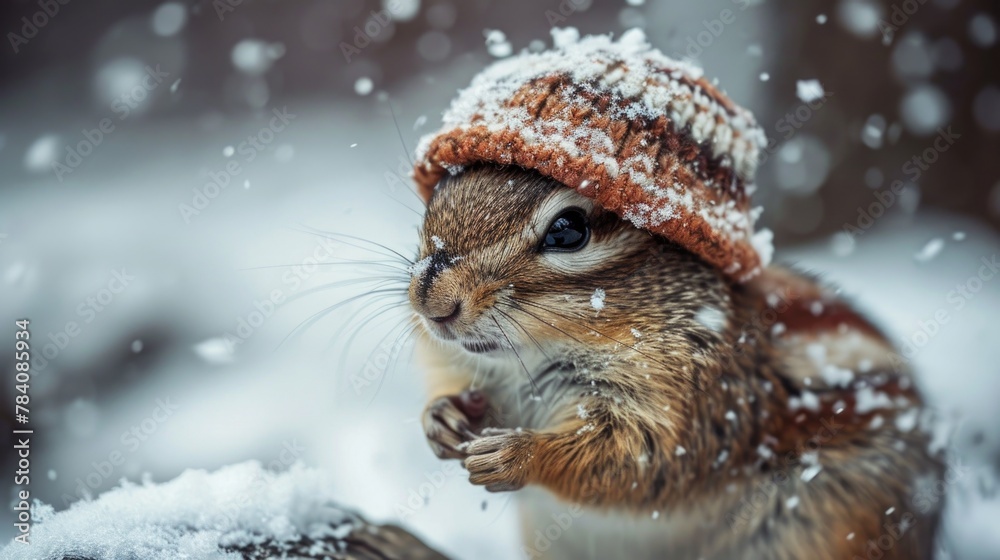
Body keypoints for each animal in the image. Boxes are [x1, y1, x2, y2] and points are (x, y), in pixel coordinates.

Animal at [405, 29, 944, 559]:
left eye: (568, 230)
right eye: (444, 186)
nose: (434, 305)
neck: (538, 357)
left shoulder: (698, 400)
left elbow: (640, 462)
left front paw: (520, 454)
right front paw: (440, 418)